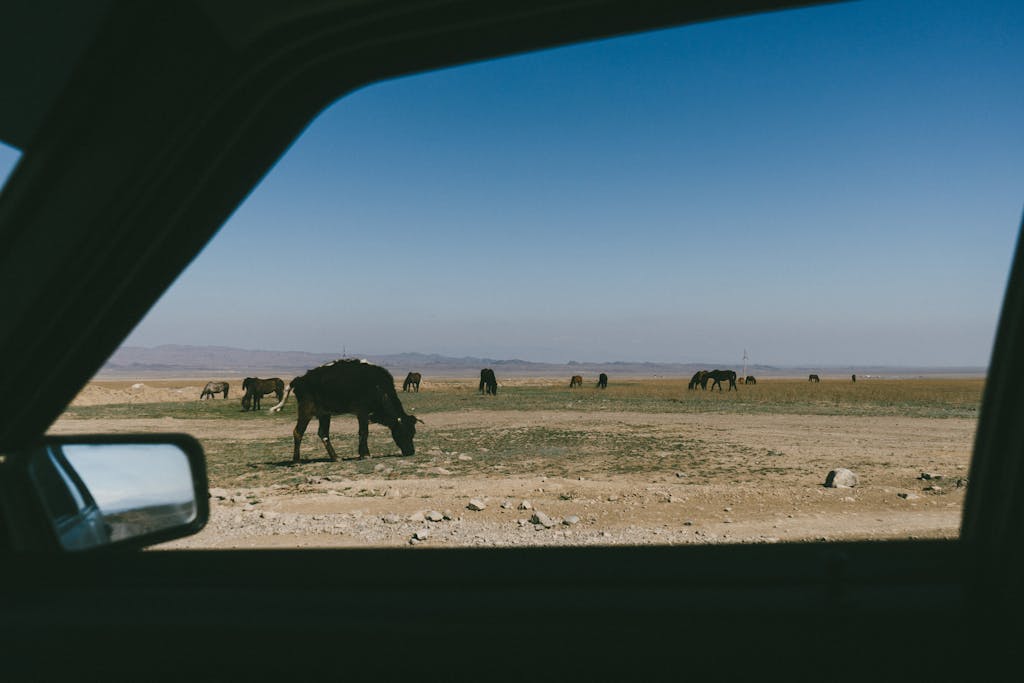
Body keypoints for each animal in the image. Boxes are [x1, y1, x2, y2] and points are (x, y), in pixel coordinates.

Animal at [270, 358, 421, 464]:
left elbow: (362, 432)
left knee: (323, 433)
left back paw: (336, 457)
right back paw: (296, 461)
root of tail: (300, 379)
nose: (411, 452)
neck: (379, 388)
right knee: (298, 432)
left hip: (324, 413)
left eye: (413, 432)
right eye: (405, 432)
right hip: (306, 410)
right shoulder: (362, 412)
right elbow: (364, 432)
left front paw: (362, 454)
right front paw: (366, 455)